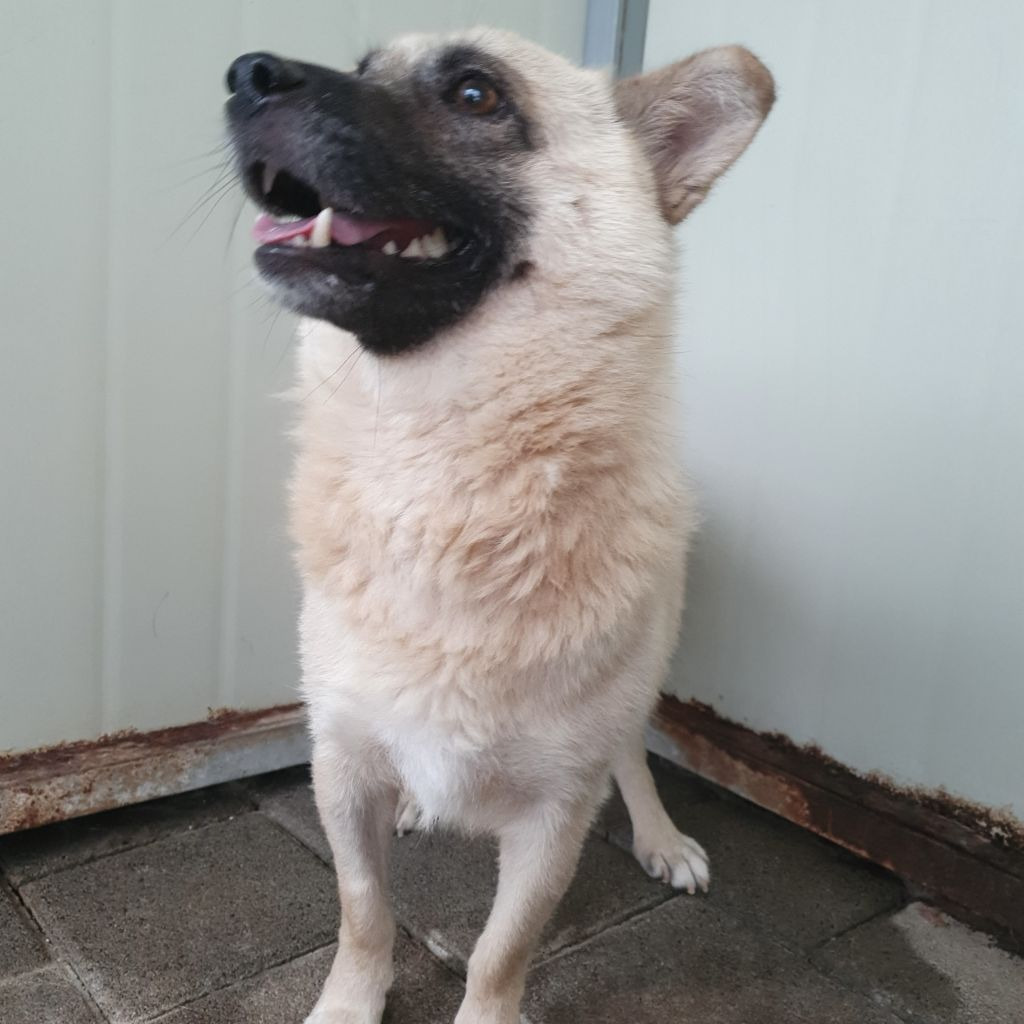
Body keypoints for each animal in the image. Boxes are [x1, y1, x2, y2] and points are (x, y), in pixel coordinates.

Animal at [225, 28, 773, 1024]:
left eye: (476, 95)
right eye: (362, 68)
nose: (246, 75)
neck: (441, 467)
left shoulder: (555, 814)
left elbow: (499, 951)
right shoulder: (341, 765)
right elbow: (363, 909)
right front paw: (350, 1001)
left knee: (633, 756)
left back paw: (660, 835)